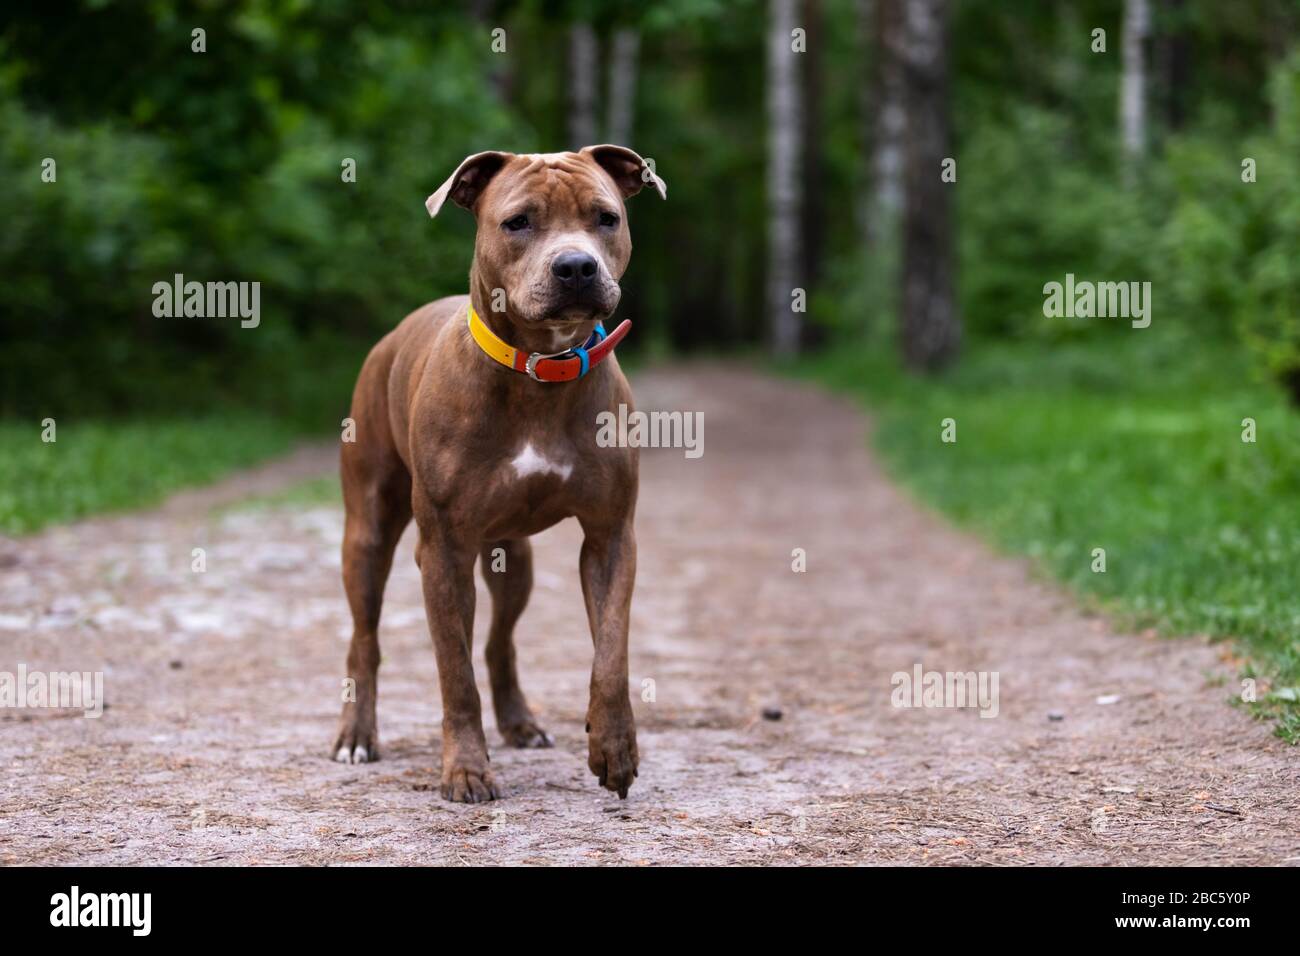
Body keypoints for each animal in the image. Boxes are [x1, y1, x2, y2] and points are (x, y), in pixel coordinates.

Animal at [330, 145, 665, 806]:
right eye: (518, 222)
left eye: (606, 217)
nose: (576, 266)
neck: (539, 369)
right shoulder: (442, 552)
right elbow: (453, 674)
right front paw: (465, 770)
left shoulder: (611, 536)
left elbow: (610, 652)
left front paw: (614, 748)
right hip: (369, 534)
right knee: (366, 640)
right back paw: (357, 734)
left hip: (512, 555)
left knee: (498, 641)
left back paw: (519, 722)